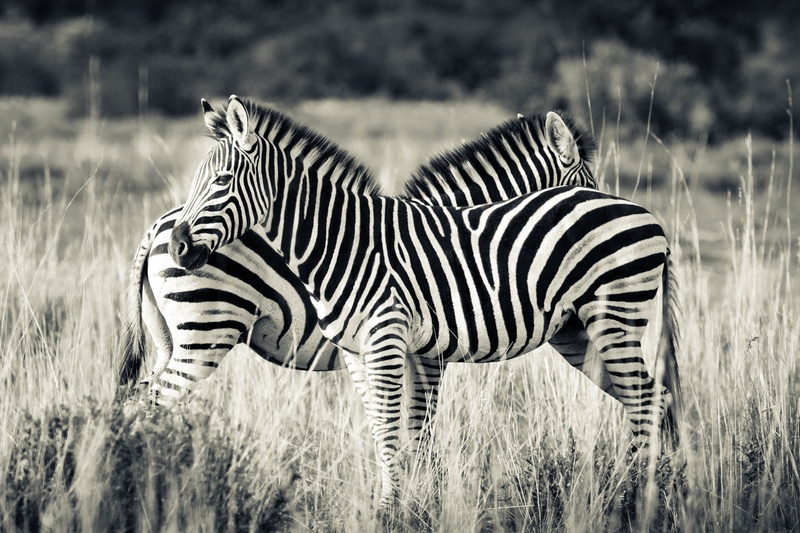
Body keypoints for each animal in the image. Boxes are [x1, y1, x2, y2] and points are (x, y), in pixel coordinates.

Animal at [118, 105, 598, 451]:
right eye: (590, 189)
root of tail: (159, 226)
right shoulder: (426, 354)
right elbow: (418, 431)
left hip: (170, 338)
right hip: (206, 333)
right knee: (148, 402)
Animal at [167, 95, 681, 507]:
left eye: (222, 181)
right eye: (206, 181)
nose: (180, 248)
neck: (340, 240)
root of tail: (649, 216)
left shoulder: (398, 344)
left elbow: (405, 430)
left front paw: (398, 507)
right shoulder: (370, 351)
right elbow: (390, 430)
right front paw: (400, 503)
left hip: (612, 321)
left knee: (647, 399)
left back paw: (635, 496)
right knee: (651, 398)